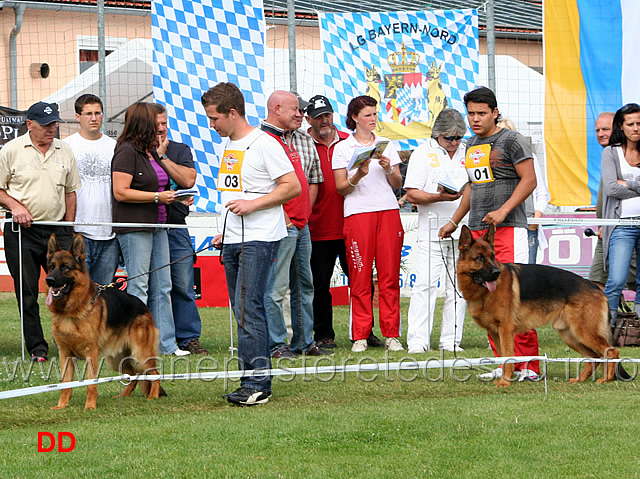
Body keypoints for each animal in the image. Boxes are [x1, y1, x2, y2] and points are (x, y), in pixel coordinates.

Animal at [45, 232, 165, 408]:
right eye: (51, 267)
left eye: (65, 267)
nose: (49, 280)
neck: (72, 310)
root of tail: (144, 306)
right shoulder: (65, 354)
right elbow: (65, 383)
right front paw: (62, 405)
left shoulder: (91, 353)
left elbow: (91, 383)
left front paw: (90, 406)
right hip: (116, 359)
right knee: (133, 375)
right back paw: (124, 396)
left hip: (140, 356)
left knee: (154, 374)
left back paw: (153, 397)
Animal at [458, 224, 628, 386]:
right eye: (480, 258)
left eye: (492, 256)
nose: (496, 273)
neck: (482, 291)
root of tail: (597, 288)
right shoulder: (495, 332)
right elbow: (503, 357)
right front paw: (505, 379)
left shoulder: (505, 330)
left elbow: (507, 357)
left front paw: (505, 382)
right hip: (570, 335)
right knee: (594, 357)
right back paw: (579, 379)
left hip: (584, 332)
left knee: (611, 352)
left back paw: (606, 379)